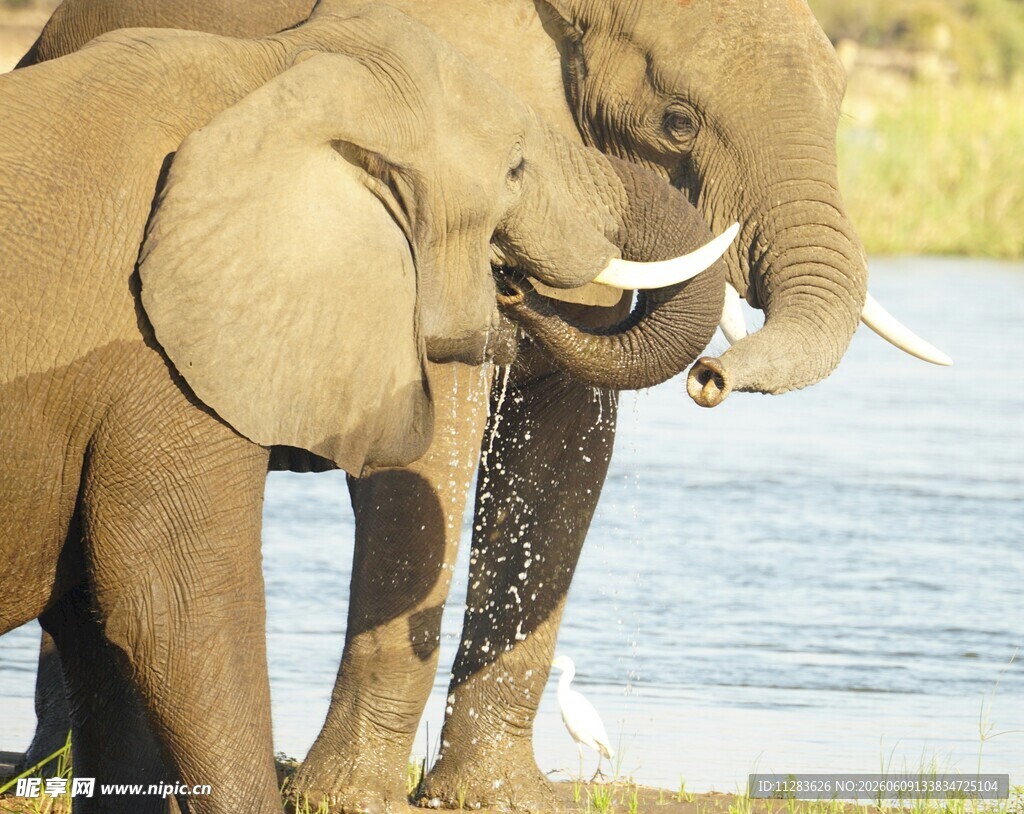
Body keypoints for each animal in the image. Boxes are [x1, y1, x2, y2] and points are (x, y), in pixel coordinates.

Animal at [10, 0, 952, 810]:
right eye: (678, 122)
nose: (711, 380)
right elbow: (431, 463)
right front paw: (347, 800)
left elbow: (564, 455)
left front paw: (499, 797)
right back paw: (53, 777)